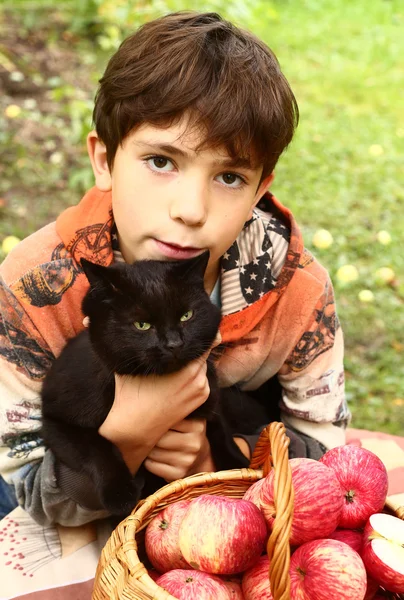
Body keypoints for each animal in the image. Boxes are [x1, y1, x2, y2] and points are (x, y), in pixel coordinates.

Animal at [41, 252, 232, 516]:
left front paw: (240, 466)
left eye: (187, 316)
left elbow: (223, 432)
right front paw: (120, 494)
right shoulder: (55, 420)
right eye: (142, 325)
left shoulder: (211, 398)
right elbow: (97, 448)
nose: (174, 343)